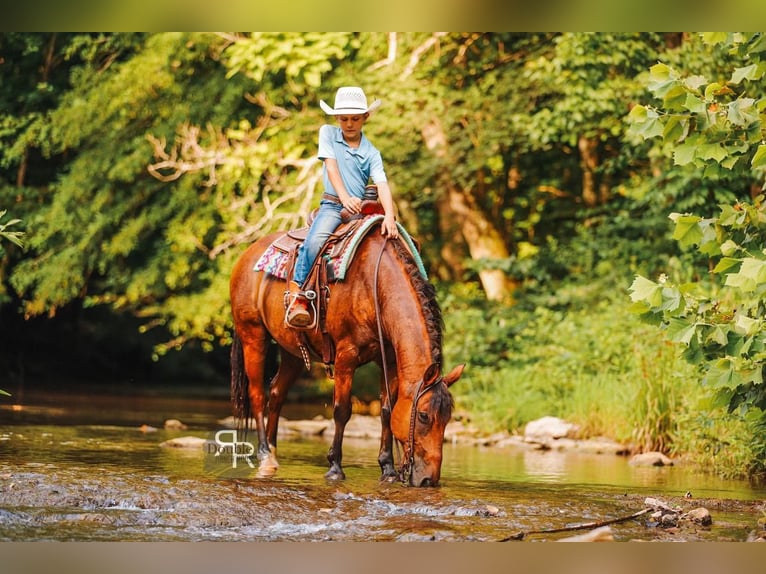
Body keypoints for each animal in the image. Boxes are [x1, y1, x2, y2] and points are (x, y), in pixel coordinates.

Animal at [229, 219, 464, 486]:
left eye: (447, 418)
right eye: (424, 416)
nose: (429, 481)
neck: (375, 285)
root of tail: (246, 254)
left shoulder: (389, 361)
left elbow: (386, 411)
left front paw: (388, 469)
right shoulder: (346, 356)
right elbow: (342, 410)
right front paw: (335, 468)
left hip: (292, 350)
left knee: (277, 393)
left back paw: (273, 451)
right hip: (253, 335)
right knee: (257, 394)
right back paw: (264, 455)